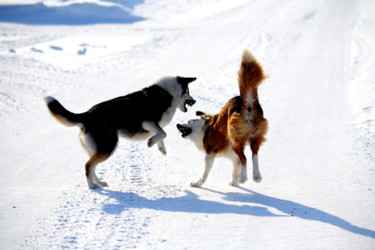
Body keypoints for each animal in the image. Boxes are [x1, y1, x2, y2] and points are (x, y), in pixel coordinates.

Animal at [45, 76, 197, 189]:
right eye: (188, 91)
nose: (194, 101)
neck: (168, 94)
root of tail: (87, 114)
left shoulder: (154, 125)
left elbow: (162, 134)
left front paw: (161, 148)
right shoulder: (147, 122)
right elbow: (163, 133)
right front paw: (151, 142)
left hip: (98, 148)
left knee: (92, 166)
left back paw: (99, 183)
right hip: (108, 146)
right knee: (88, 165)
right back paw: (92, 186)